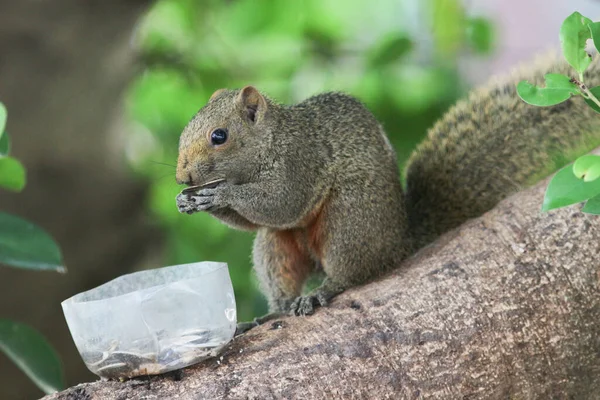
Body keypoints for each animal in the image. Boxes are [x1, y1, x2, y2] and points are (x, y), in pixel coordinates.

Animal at [176, 54, 600, 326]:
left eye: (219, 136)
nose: (181, 177)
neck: (269, 142)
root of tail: (401, 240)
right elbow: (258, 219)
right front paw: (191, 201)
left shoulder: (300, 162)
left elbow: (281, 203)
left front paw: (220, 195)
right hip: (277, 246)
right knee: (280, 271)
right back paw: (273, 312)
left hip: (351, 221)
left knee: (351, 272)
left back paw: (324, 290)